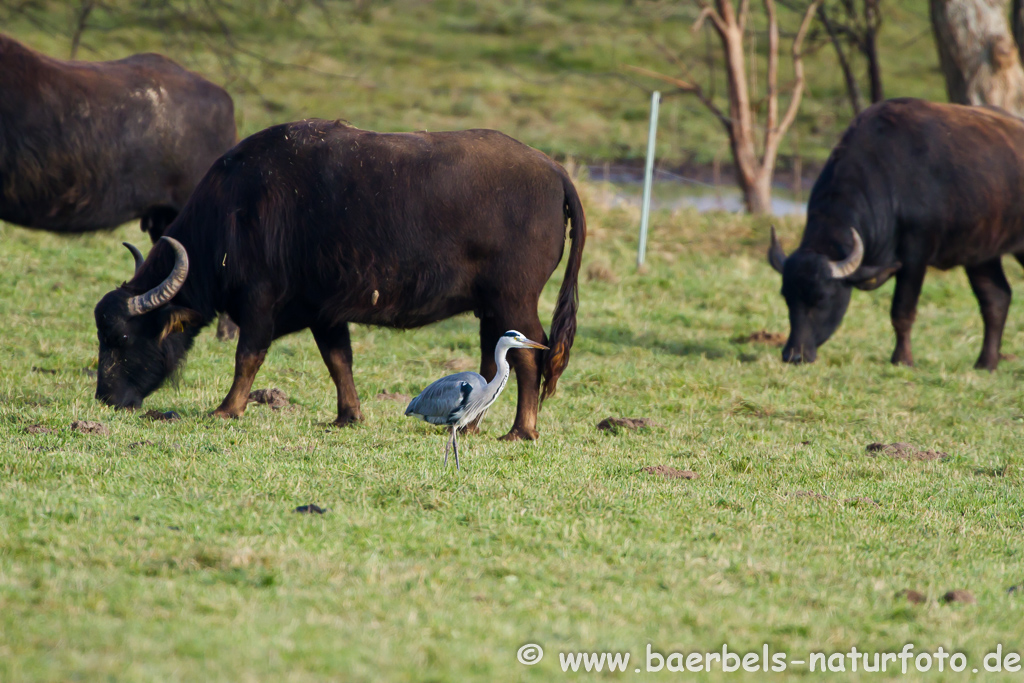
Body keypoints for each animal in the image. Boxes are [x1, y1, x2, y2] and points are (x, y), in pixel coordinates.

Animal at [92, 121, 589, 444]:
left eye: (120, 338)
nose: (106, 397)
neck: (235, 213)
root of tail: (553, 171)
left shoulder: (259, 303)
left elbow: (247, 356)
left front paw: (227, 408)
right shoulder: (325, 313)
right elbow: (339, 361)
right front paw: (348, 416)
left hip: (514, 300)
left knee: (529, 357)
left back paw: (521, 431)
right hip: (490, 307)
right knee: (492, 359)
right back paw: (473, 425)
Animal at [770, 96, 1024, 368]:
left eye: (822, 297)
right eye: (786, 296)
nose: (794, 355)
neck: (888, 180)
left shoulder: (915, 254)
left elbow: (902, 311)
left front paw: (902, 359)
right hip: (980, 254)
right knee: (997, 299)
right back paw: (986, 363)